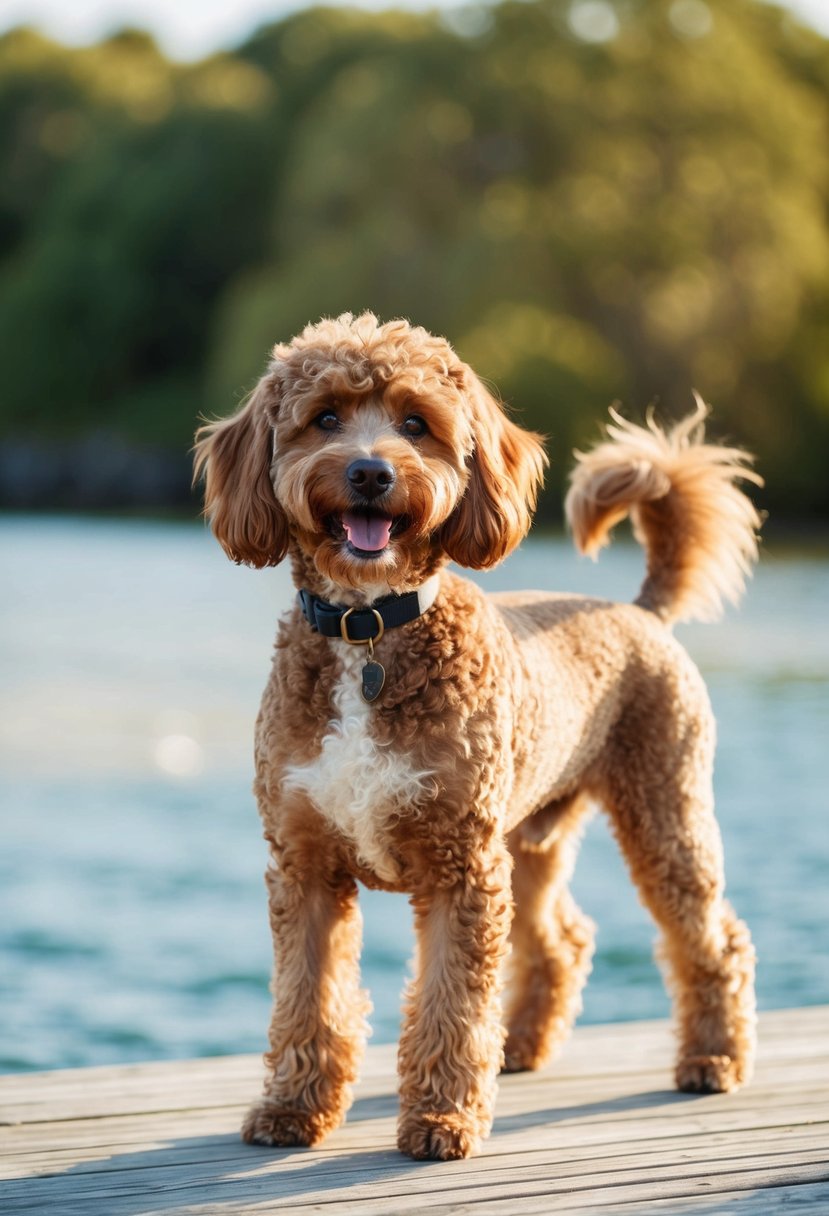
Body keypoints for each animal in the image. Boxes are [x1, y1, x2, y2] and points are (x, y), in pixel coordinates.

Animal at [192, 311, 753, 1157]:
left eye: (415, 424)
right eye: (323, 417)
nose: (369, 474)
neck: (366, 631)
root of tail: (637, 612)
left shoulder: (460, 869)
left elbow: (450, 1002)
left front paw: (440, 1118)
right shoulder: (306, 863)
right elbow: (307, 998)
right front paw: (292, 1108)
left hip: (663, 816)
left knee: (711, 939)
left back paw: (712, 1058)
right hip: (530, 840)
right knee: (563, 940)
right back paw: (518, 1047)